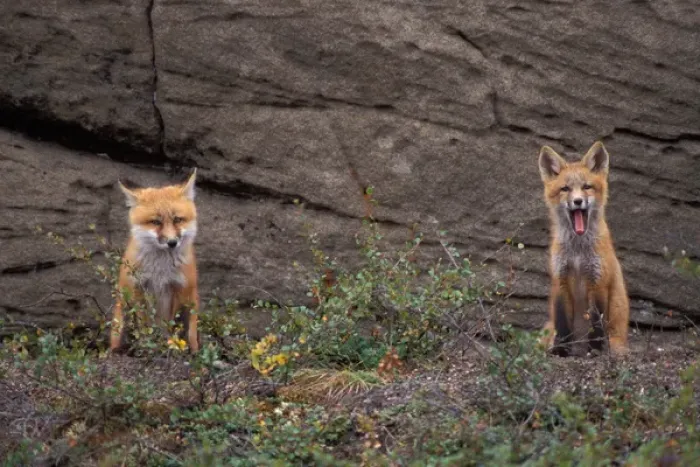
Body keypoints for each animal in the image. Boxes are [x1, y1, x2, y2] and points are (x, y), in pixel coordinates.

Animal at [110, 169, 200, 353]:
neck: (160, 272)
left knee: (191, 336)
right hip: (123, 310)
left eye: (177, 219)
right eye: (155, 222)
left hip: (191, 305)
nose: (172, 242)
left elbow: (171, 324)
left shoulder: (177, 289)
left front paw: (171, 344)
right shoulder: (138, 288)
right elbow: (144, 325)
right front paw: (147, 344)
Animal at [537, 141, 629, 357]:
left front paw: (594, 351)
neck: (578, 253)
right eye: (565, 189)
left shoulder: (598, 281)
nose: (578, 201)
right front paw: (561, 351)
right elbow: (563, 325)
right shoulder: (560, 280)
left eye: (587, 187)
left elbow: (596, 324)